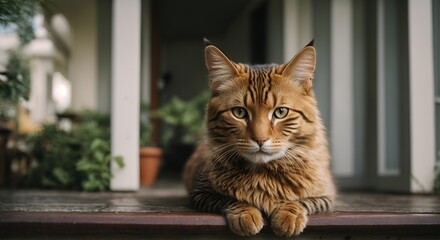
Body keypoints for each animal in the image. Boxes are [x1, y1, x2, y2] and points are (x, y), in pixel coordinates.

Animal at [184, 39, 336, 236]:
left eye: (281, 112)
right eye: (239, 112)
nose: (260, 140)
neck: (264, 174)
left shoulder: (326, 195)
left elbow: (300, 201)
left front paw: (288, 215)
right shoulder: (201, 193)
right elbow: (232, 199)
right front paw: (246, 214)